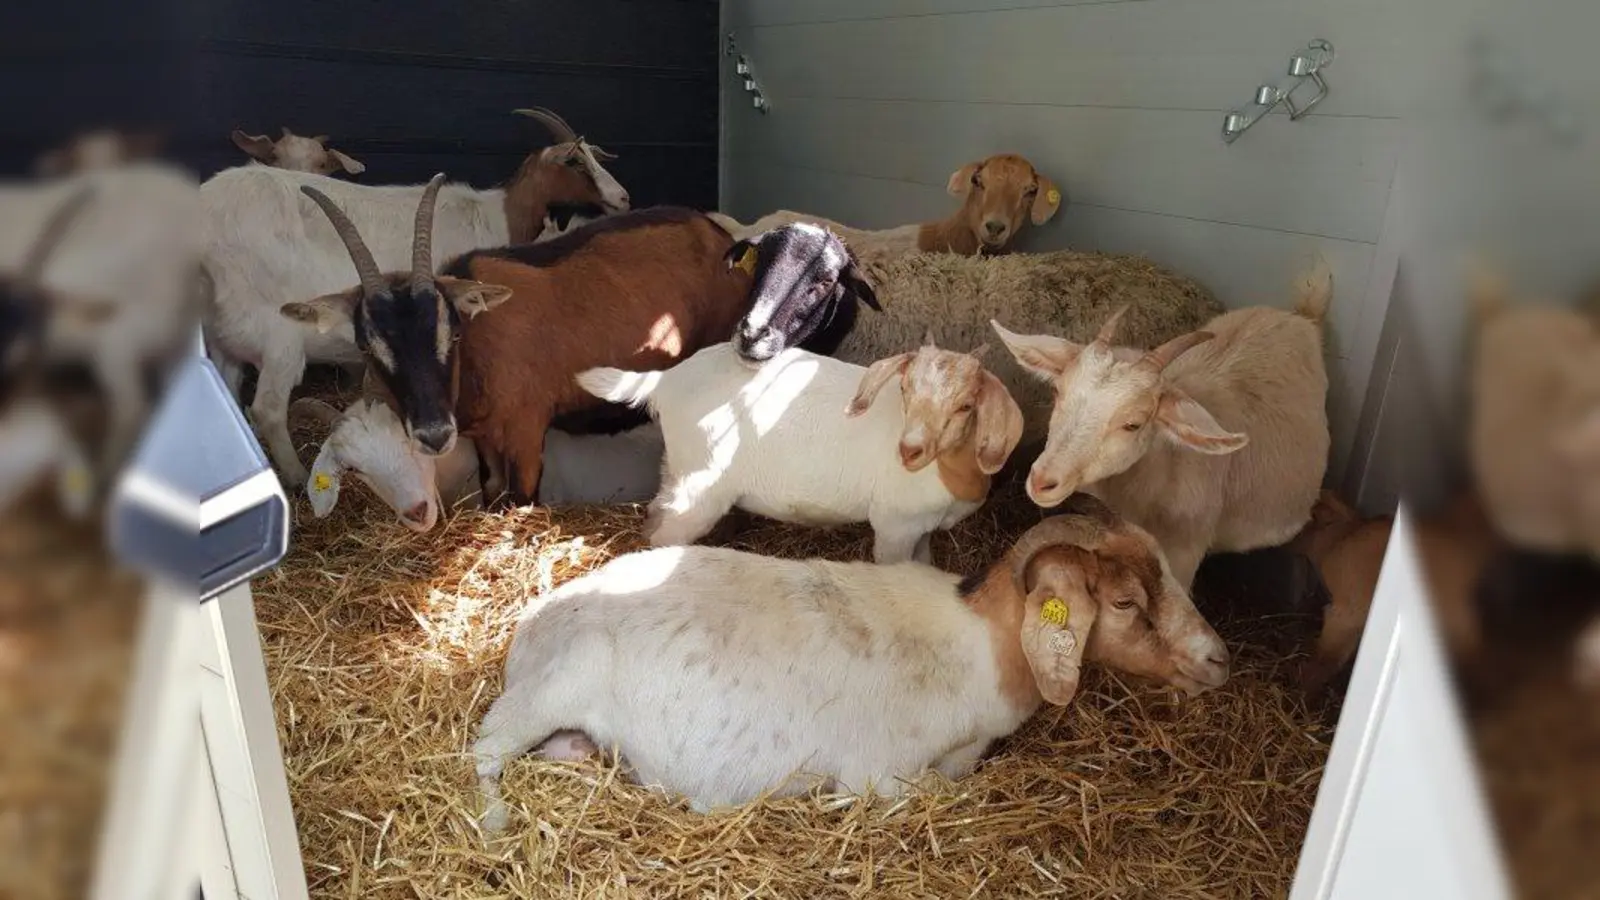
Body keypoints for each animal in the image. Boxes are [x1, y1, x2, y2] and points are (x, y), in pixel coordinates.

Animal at [471, 495, 1230, 829]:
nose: (1219, 659)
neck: (978, 648)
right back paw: (495, 820)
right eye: (1127, 602)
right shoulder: (882, 774)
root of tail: (532, 620)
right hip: (549, 689)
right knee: (481, 750)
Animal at [577, 336, 1024, 564]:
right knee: (668, 533)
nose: (909, 450)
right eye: (905, 389)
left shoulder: (921, 527)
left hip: (680, 468)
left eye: (966, 405)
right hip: (703, 484)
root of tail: (663, 381)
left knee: (657, 512)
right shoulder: (895, 524)